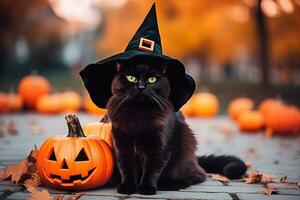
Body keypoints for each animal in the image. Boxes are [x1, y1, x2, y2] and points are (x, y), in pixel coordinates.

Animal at [105, 58, 246, 195]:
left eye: (152, 79)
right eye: (131, 78)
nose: (141, 87)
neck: (138, 113)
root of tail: (195, 160)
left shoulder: (159, 148)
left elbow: (151, 170)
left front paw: (146, 189)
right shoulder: (121, 145)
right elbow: (126, 168)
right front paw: (128, 187)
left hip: (185, 144)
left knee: (198, 175)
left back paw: (168, 184)